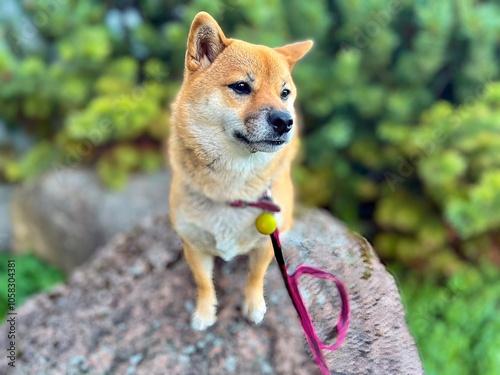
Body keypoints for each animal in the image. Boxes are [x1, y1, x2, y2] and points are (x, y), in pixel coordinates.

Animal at [168, 11, 310, 330]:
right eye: (241, 87)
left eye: (284, 93)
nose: (284, 121)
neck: (231, 189)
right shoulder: (194, 245)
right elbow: (204, 282)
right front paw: (205, 312)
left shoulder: (266, 244)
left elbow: (255, 276)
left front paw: (254, 306)